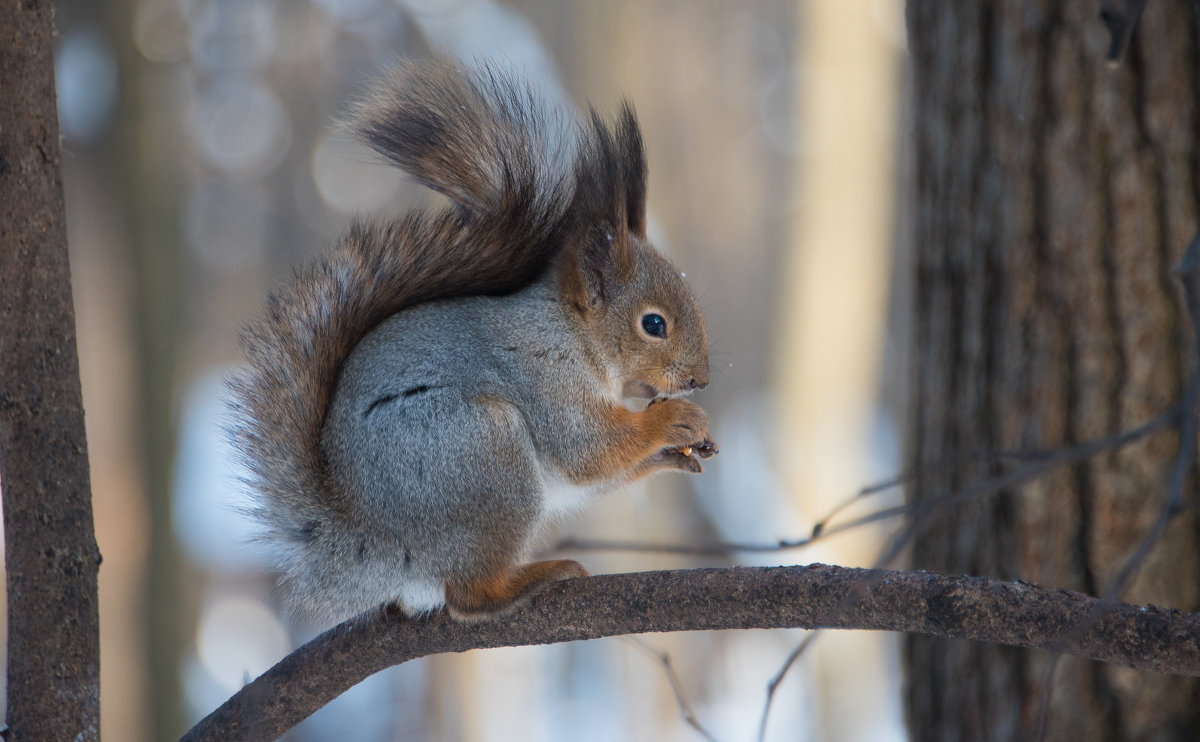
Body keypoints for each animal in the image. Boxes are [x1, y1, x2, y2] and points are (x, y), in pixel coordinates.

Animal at [226, 60, 710, 619]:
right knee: (467, 596)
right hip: (480, 454)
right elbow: (587, 449)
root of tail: (374, 545)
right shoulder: (543, 371)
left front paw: (675, 451)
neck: (573, 335)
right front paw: (673, 420)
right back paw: (529, 579)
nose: (700, 380)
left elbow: (601, 470)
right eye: (653, 324)